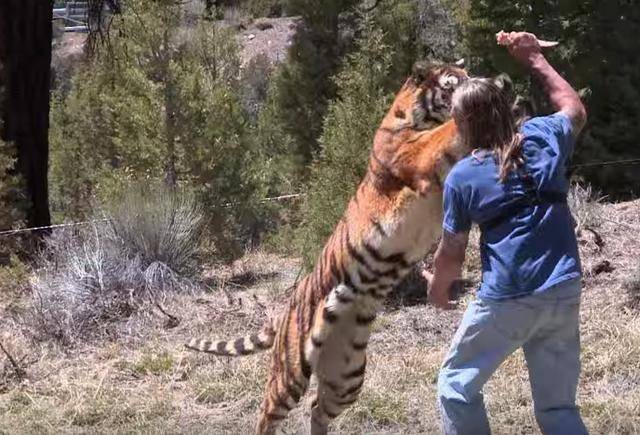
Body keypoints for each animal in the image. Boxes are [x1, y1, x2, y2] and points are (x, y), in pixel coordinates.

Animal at [184, 62, 520, 435]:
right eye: (451, 83)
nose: (492, 83)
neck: (412, 117)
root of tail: (284, 311)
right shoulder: (417, 154)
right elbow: (448, 132)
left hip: (347, 375)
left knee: (317, 408)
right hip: (291, 373)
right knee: (267, 412)